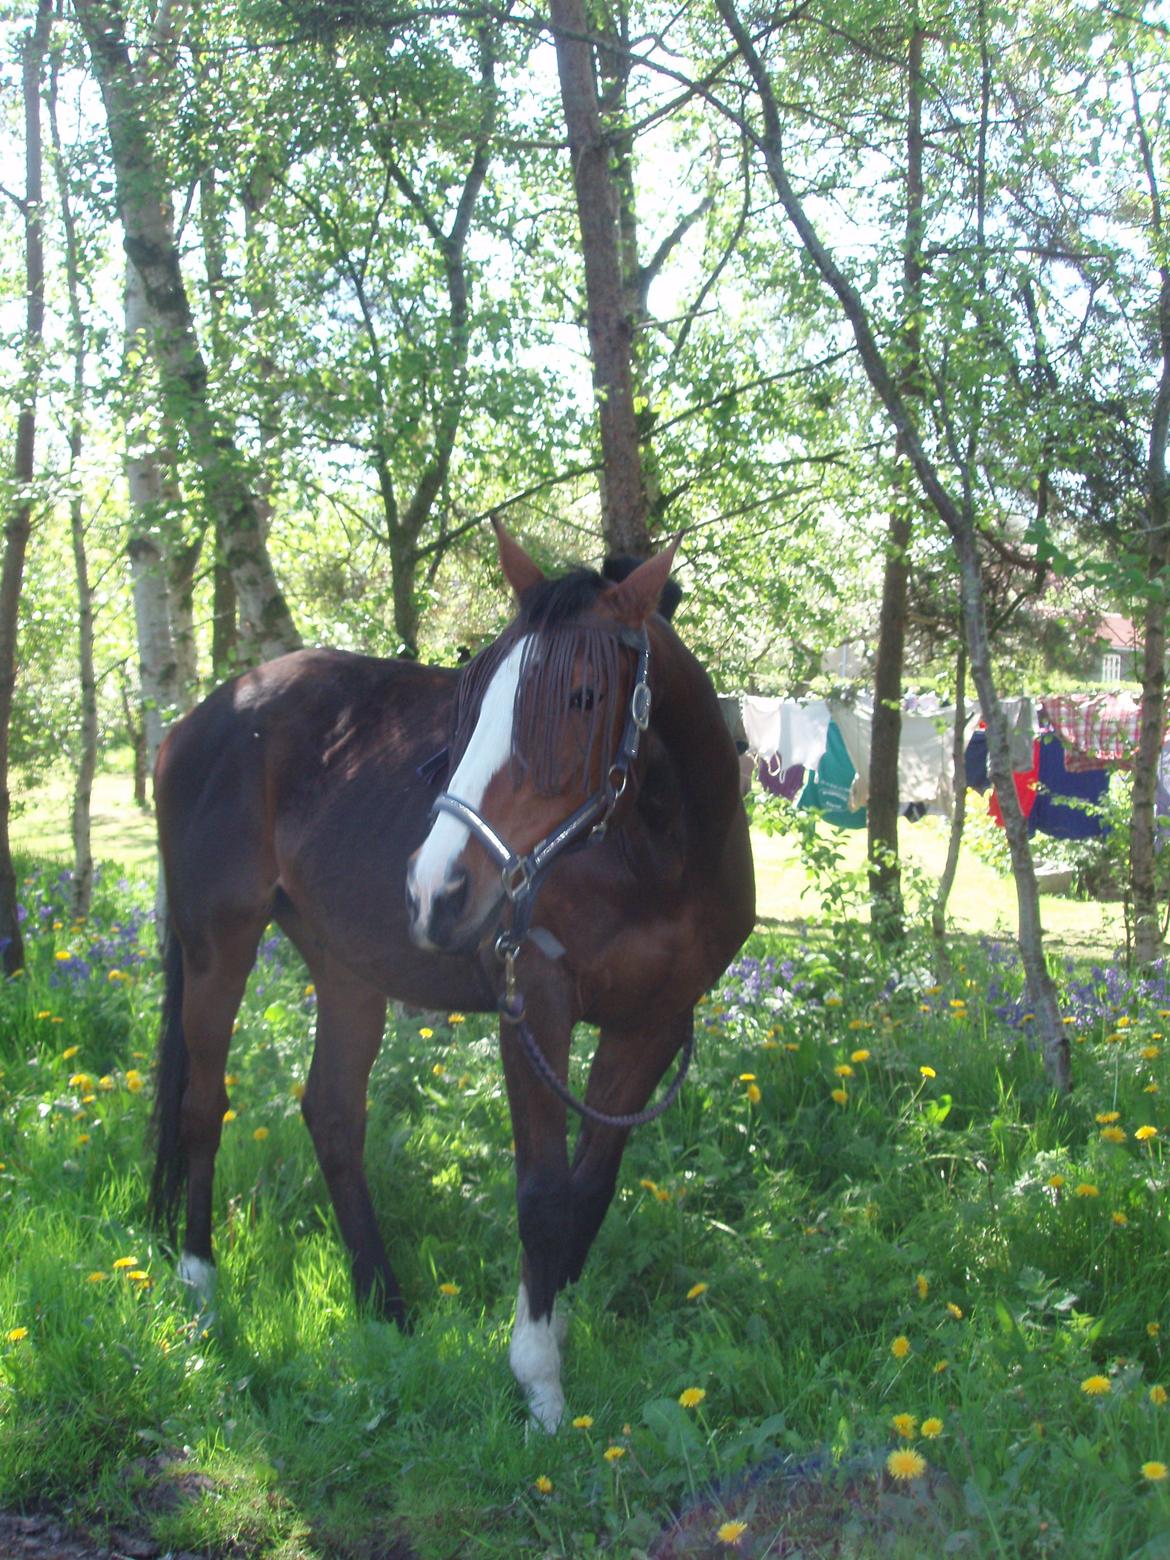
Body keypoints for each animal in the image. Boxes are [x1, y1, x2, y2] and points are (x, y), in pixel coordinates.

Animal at [151, 524, 755, 1428]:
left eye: (582, 696)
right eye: (472, 693)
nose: (436, 888)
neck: (657, 857)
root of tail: (197, 720)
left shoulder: (651, 1025)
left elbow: (591, 1187)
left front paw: (554, 1316)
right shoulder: (533, 1006)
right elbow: (542, 1191)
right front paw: (539, 1382)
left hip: (345, 967)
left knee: (333, 1113)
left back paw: (385, 1304)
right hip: (216, 946)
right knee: (202, 1103)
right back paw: (200, 1284)